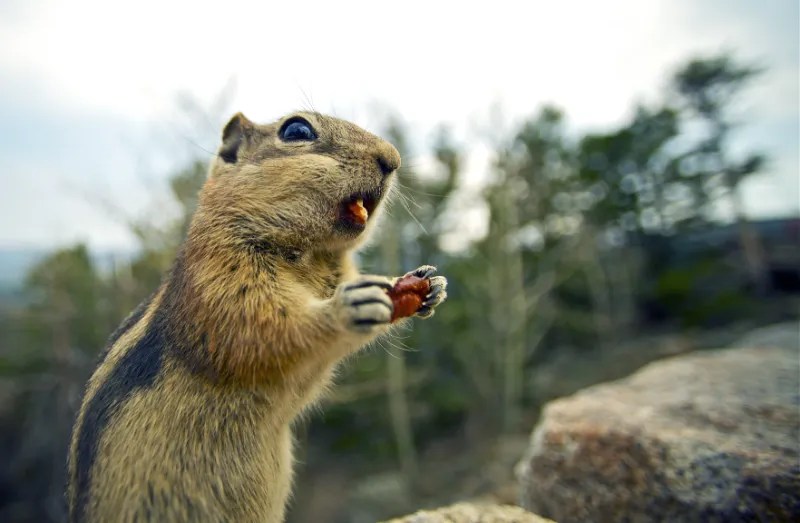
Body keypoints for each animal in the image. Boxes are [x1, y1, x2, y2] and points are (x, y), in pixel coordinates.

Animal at [66, 111, 448, 522]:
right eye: (296, 130)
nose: (393, 158)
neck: (315, 255)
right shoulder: (222, 282)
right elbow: (268, 327)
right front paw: (346, 307)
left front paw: (429, 283)